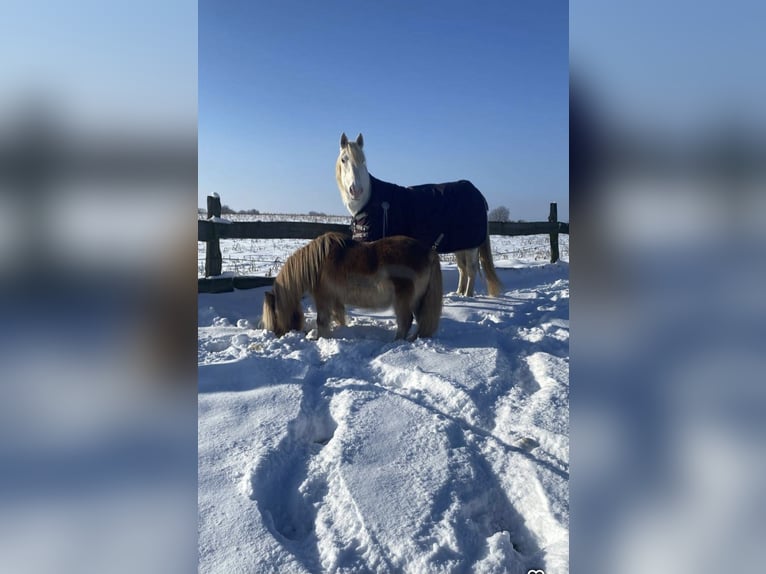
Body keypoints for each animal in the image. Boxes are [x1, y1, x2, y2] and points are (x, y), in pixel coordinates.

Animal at [262, 234, 444, 342]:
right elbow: (339, 316)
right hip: (418, 300)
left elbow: (322, 320)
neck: (315, 265)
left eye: (274, 315)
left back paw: (396, 343)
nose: (276, 334)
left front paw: (320, 339)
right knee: (420, 320)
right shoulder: (335, 298)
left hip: (403, 300)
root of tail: (429, 252)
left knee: (406, 320)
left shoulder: (323, 297)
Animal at [336, 133, 504, 300]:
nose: (356, 190)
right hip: (460, 244)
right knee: (462, 268)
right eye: (344, 159)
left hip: (471, 246)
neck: (372, 202)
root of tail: (476, 193)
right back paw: (459, 293)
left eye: (363, 160)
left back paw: (467, 296)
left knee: (471, 269)